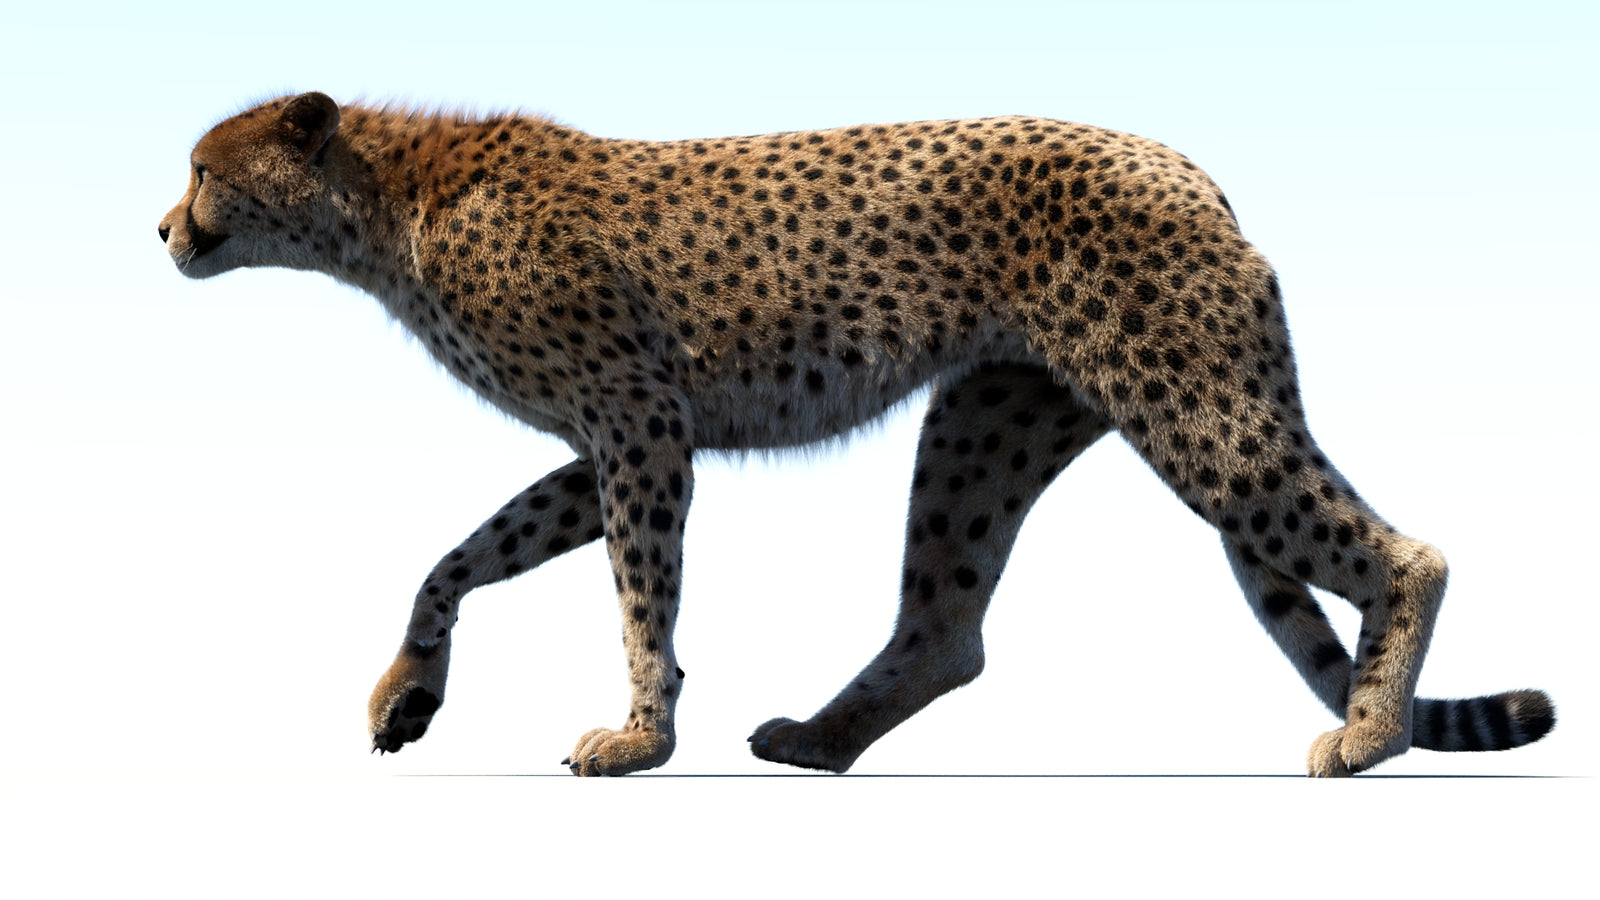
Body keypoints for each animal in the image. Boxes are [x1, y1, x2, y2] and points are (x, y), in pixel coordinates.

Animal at [159, 92, 1555, 776]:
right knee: (945, 628)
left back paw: (1369, 736)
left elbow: (640, 596)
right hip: (988, 423)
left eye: (204, 170)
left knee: (1405, 553)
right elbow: (456, 557)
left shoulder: (639, 425)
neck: (383, 205)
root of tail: (1180, 163)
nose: (163, 228)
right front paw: (407, 695)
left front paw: (639, 739)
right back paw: (823, 743)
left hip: (1190, 405)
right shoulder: (610, 440)